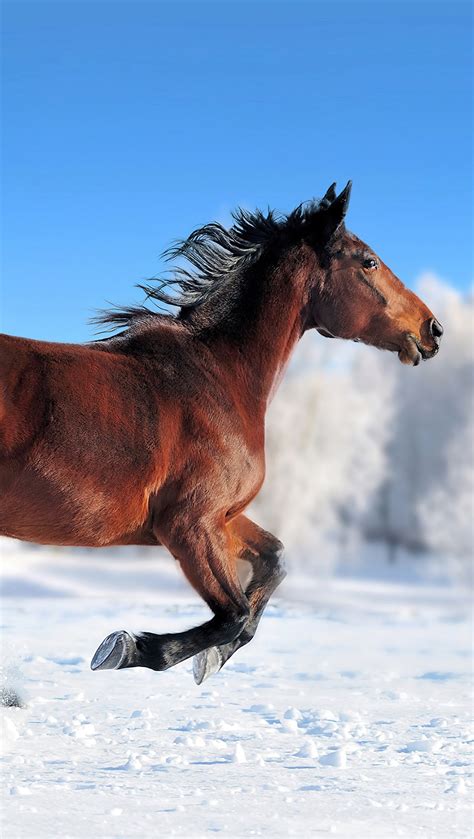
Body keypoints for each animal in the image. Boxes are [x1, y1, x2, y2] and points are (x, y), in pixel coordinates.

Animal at [0, 182, 444, 684]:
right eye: (368, 261)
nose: (433, 329)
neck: (219, 375)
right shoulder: (190, 523)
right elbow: (232, 615)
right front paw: (125, 648)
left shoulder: (222, 517)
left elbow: (274, 564)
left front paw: (210, 659)